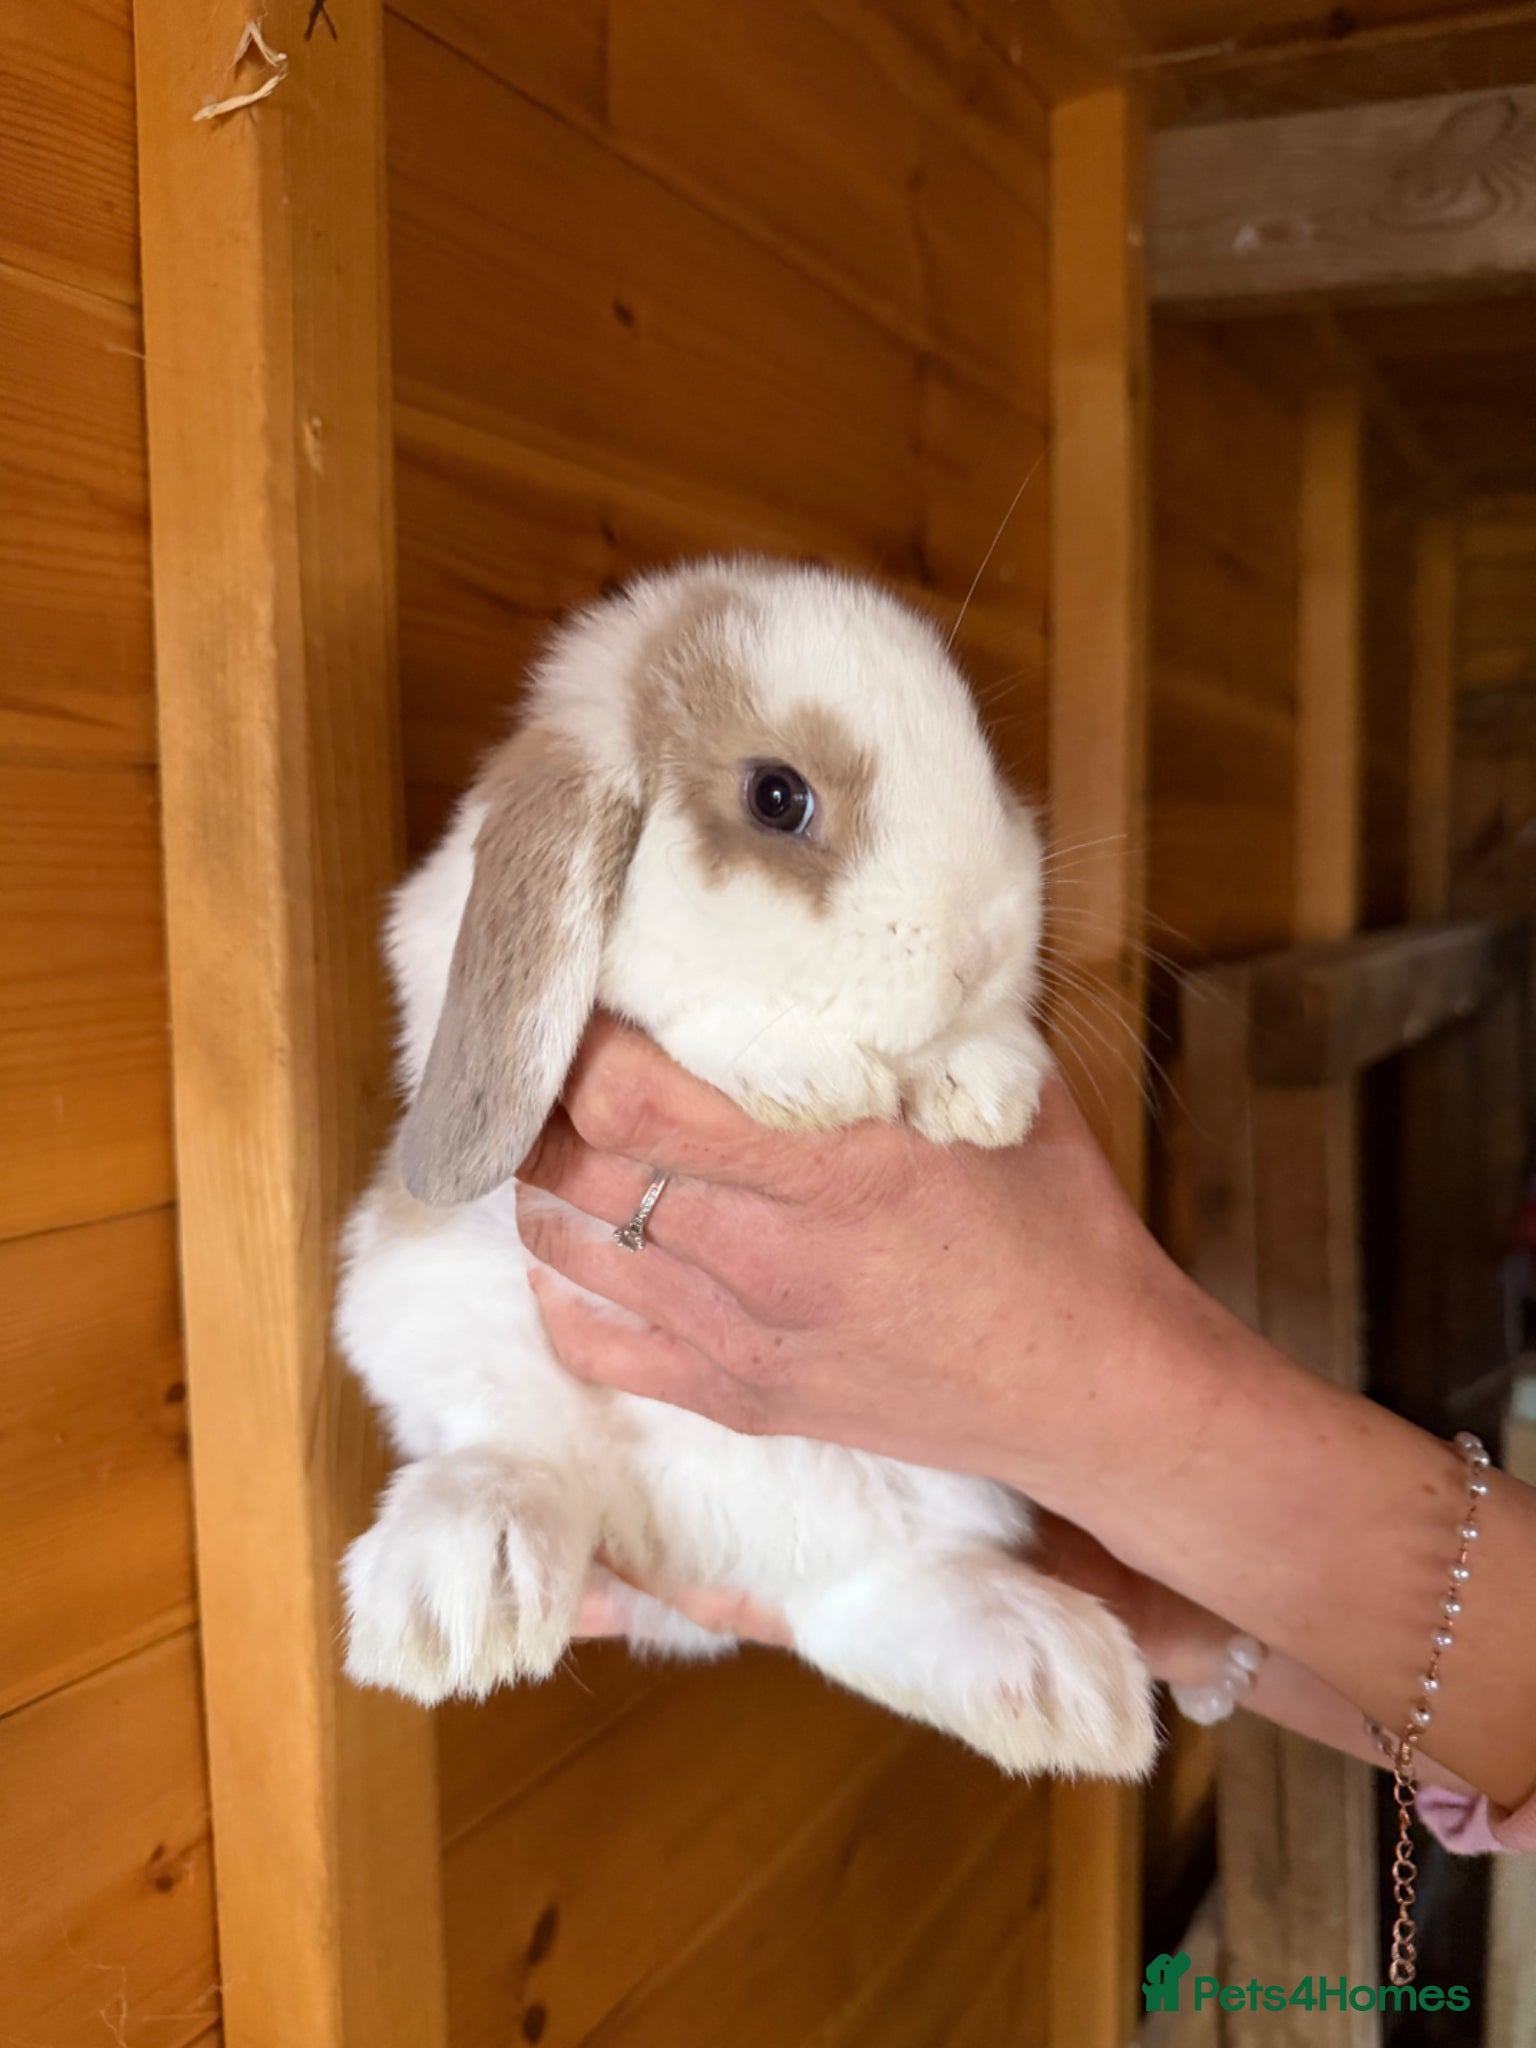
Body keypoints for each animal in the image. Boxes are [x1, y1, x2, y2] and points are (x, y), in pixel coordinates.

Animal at [336, 557, 1156, 1780]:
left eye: (984, 760)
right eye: (778, 796)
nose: (981, 947)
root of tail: (698, 1560)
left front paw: (987, 1085)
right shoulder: (444, 949)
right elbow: (687, 1002)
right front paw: (807, 1075)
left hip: (928, 1480)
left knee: (879, 1594)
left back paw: (1063, 1681)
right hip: (438, 1313)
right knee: (516, 1454)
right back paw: (461, 1593)